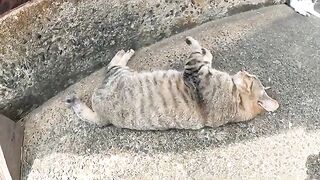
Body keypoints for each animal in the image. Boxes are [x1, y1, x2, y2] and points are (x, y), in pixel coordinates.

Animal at [66, 36, 278, 129]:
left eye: (250, 78)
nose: (243, 70)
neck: (236, 101)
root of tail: (104, 117)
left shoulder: (194, 73)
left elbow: (195, 52)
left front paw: (194, 43)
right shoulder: (199, 69)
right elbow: (205, 57)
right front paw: (207, 52)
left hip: (118, 75)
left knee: (113, 65)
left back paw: (122, 55)